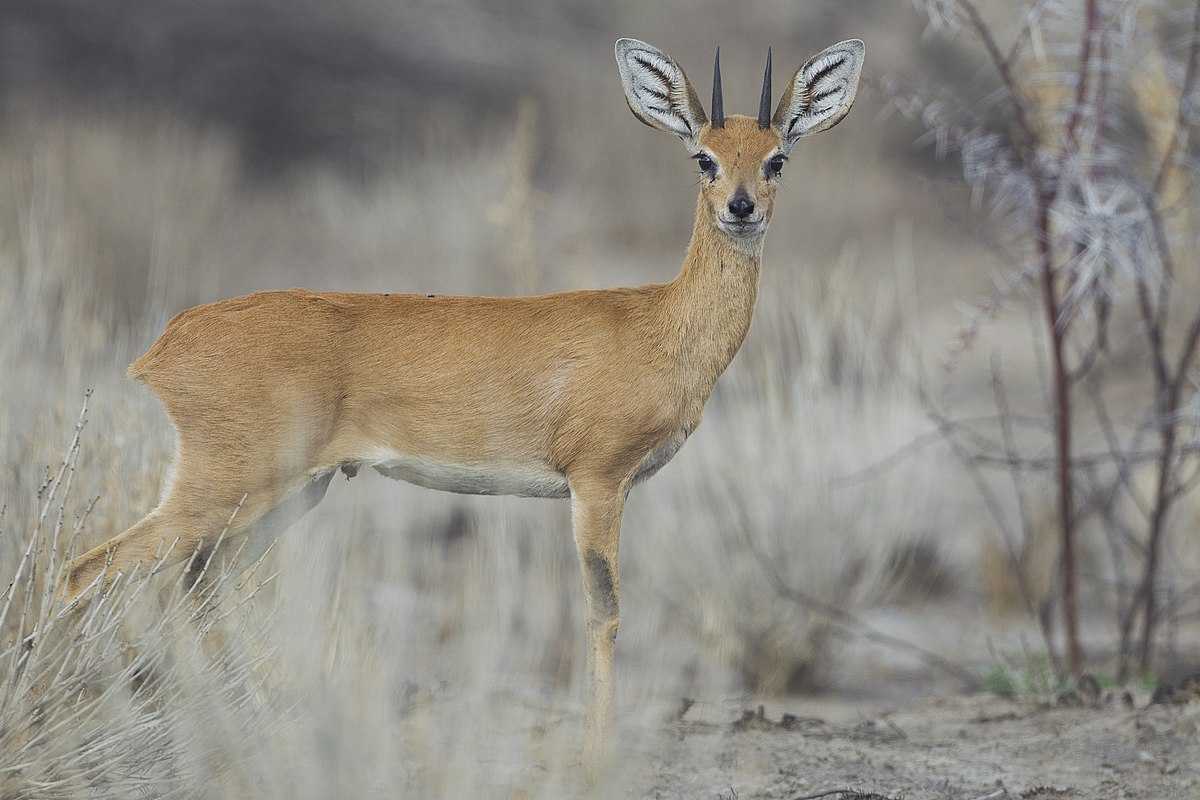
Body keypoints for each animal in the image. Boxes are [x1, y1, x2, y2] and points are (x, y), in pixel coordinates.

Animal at [63, 35, 864, 777]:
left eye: (776, 158)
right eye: (703, 157)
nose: (740, 208)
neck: (662, 325)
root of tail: (169, 339)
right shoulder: (598, 481)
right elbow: (603, 611)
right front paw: (593, 761)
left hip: (285, 495)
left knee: (197, 593)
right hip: (225, 489)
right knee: (90, 570)